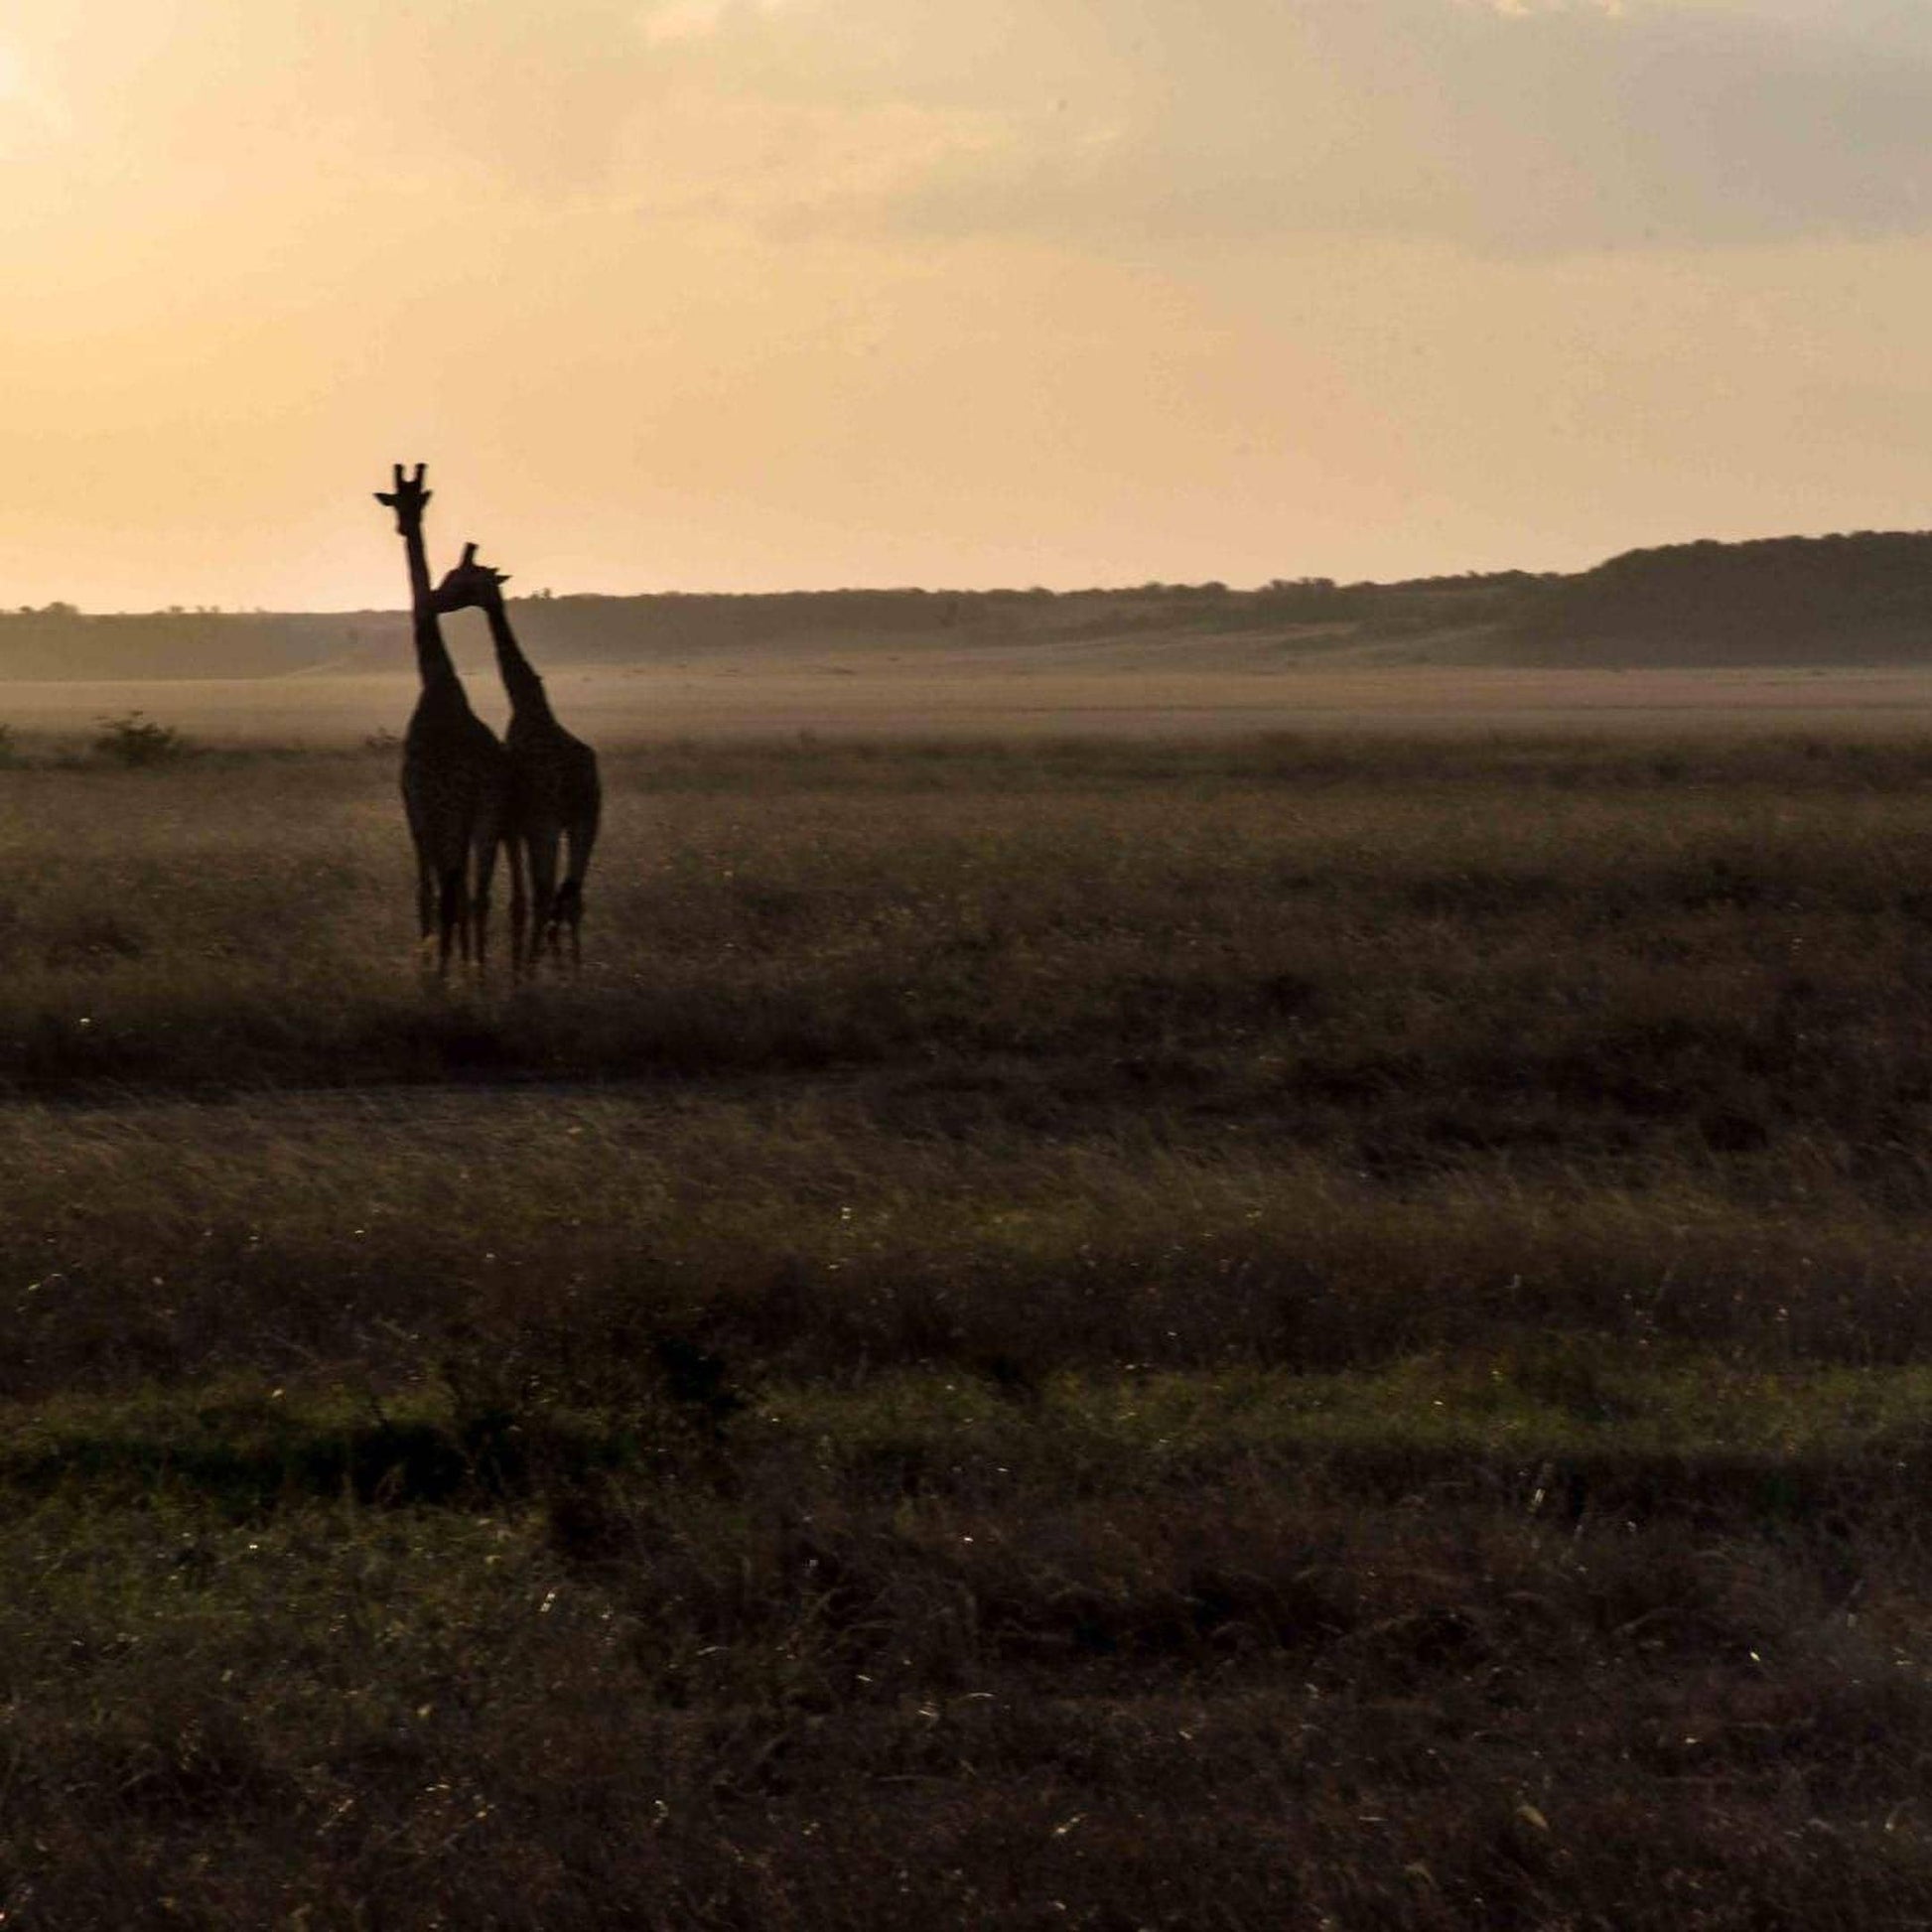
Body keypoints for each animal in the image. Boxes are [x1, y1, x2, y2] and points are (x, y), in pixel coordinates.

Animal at [373, 465, 507, 979]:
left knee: (453, 894)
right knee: (466, 894)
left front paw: (441, 969)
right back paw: (468, 970)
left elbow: (428, 894)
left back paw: (456, 970)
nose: (402, 526)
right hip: (471, 817)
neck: (438, 683)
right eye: (399, 501)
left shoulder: (413, 809)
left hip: (451, 818)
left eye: (414, 502)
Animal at [434, 543, 601, 975]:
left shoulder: (521, 823)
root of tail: (576, 781)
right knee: (573, 897)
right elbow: (525, 900)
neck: (528, 706)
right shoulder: (525, 826)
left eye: (459, 579)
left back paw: (539, 968)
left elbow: (522, 900)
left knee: (548, 895)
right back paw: (574, 971)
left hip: (549, 823)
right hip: (586, 822)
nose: (435, 600)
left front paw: (521, 969)